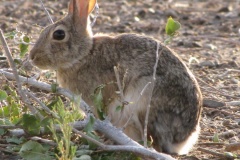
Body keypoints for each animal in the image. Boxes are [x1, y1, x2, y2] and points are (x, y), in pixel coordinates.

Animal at [28, 0, 202, 155]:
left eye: (59, 34)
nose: (32, 57)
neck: (83, 55)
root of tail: (183, 138)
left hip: (144, 101)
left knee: (154, 144)